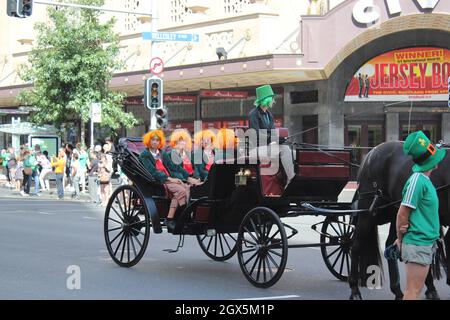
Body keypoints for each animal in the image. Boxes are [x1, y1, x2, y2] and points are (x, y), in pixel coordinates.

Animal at [348, 141, 450, 298]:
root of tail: (372, 153)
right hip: (368, 212)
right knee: (356, 245)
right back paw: (354, 290)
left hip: (396, 212)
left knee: (390, 244)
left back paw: (398, 290)